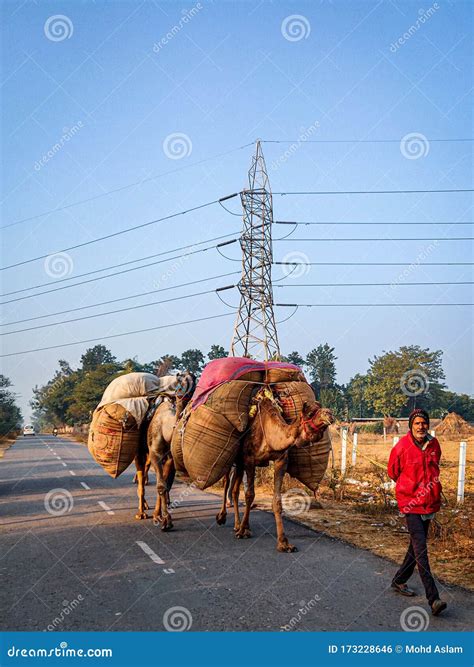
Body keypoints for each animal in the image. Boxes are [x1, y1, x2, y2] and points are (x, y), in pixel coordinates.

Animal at [216, 396, 334, 552]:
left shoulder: (280, 461)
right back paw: (222, 518)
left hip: (240, 464)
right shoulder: (249, 460)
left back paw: (237, 525)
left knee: (235, 490)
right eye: (310, 413)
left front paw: (284, 543)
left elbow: (277, 500)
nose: (330, 414)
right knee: (226, 483)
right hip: (233, 458)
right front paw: (243, 531)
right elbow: (250, 495)